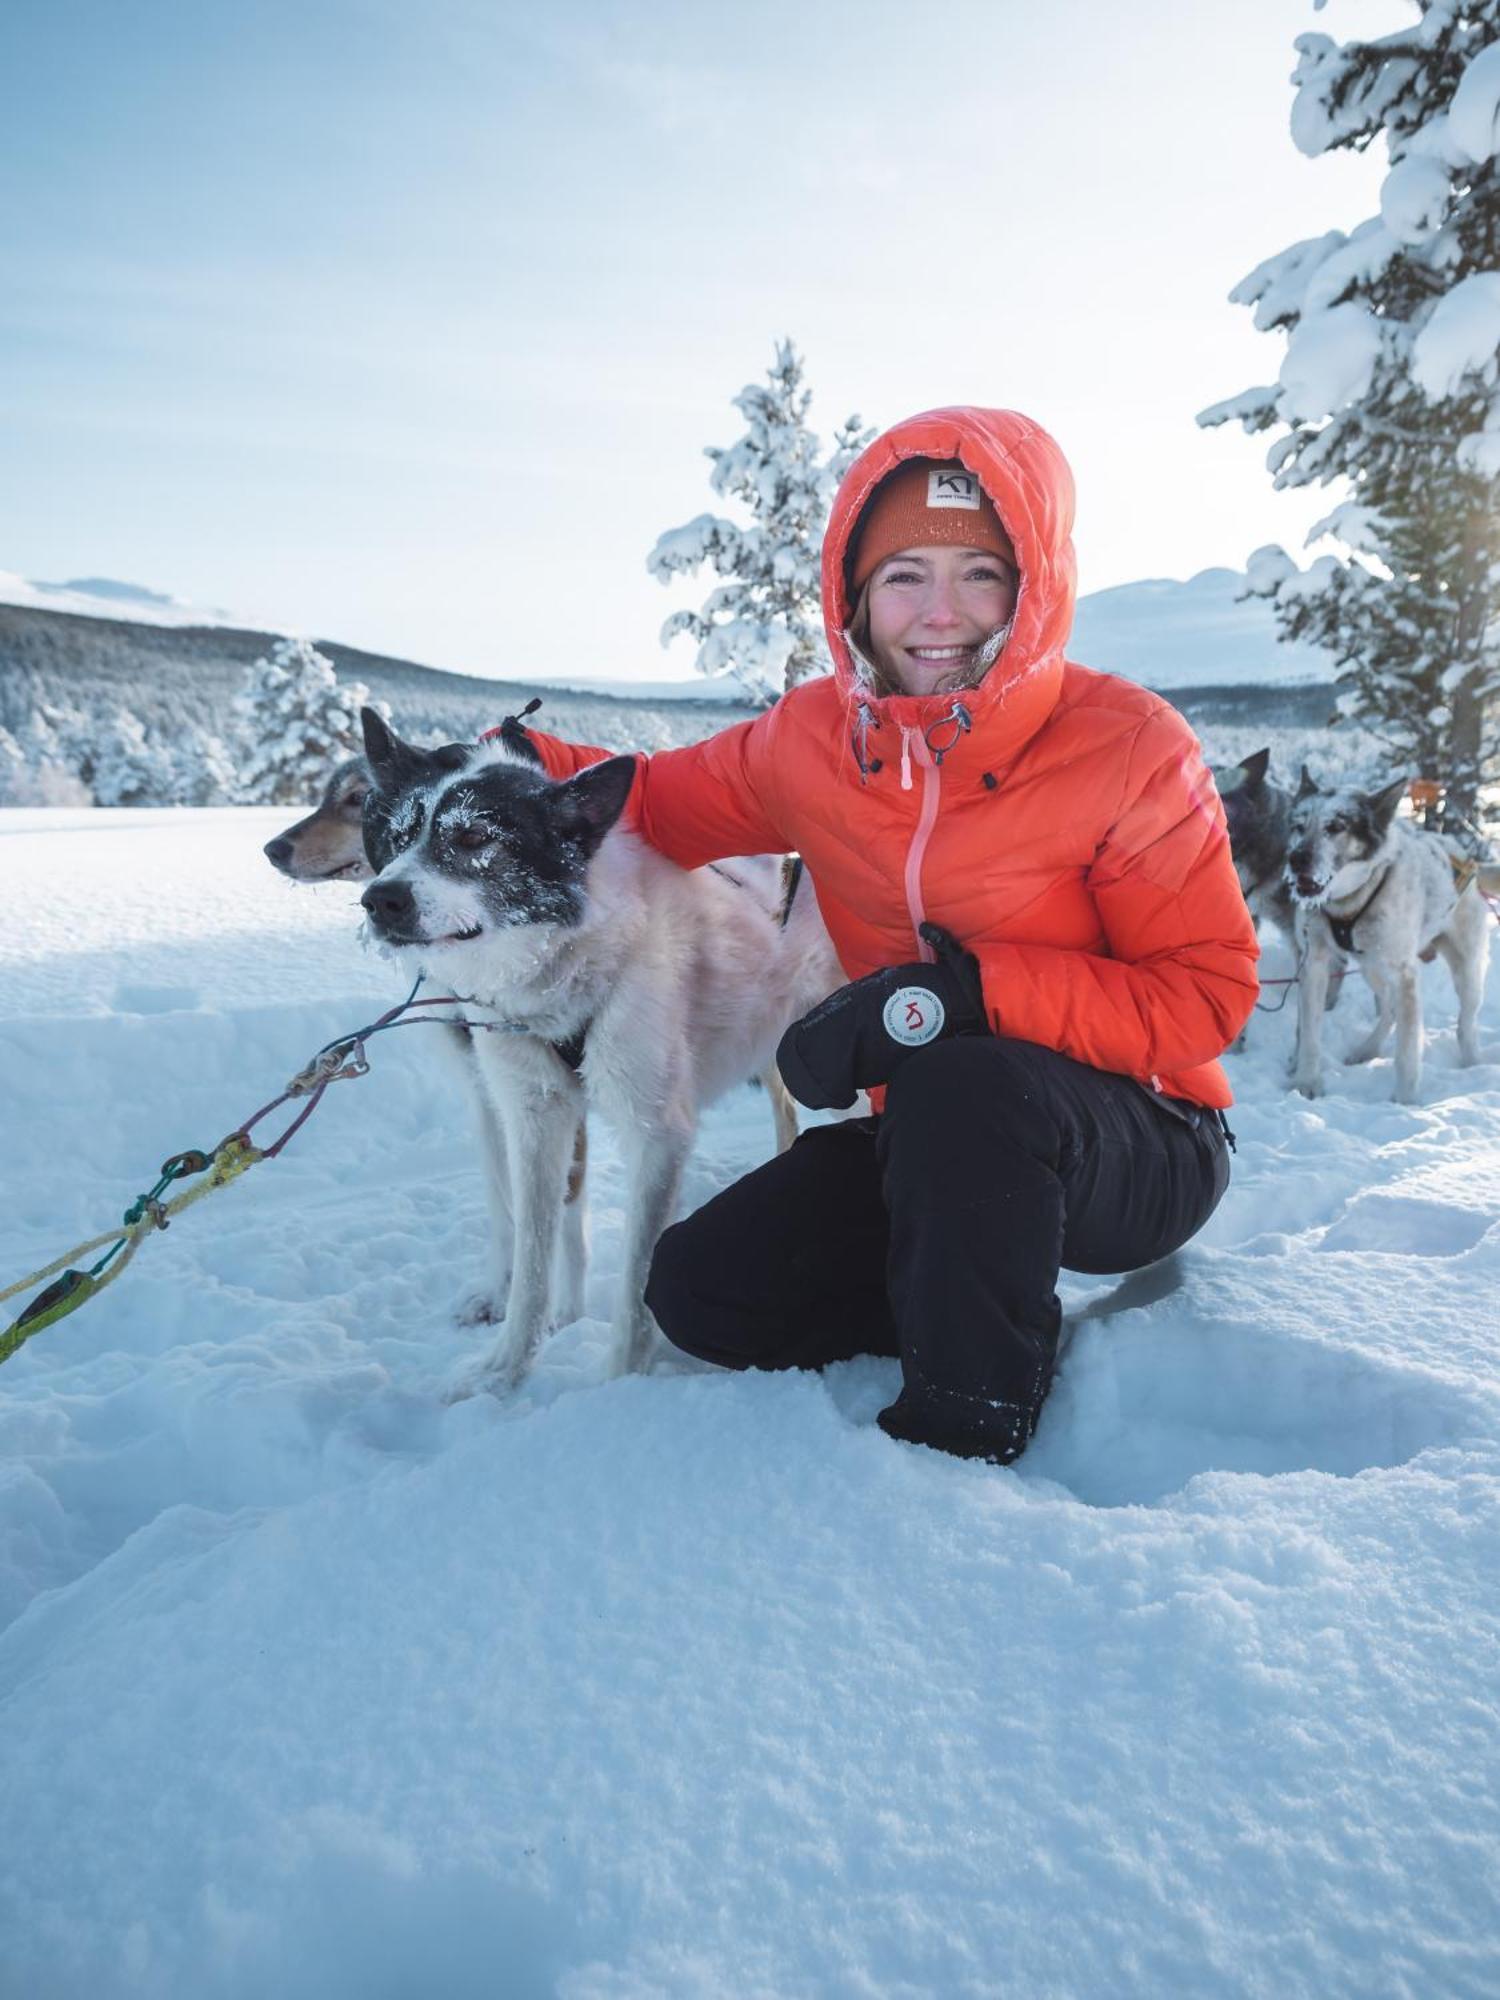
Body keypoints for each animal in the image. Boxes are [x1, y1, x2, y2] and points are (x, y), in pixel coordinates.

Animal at [358, 712, 840, 1400]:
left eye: (474, 836)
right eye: (398, 836)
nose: (381, 900)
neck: (565, 972)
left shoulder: (658, 1134)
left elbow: (637, 1288)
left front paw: (615, 1394)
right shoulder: (536, 1120)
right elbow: (533, 1261)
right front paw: (504, 1372)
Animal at [1288, 768, 1496, 1112]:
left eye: (1336, 826)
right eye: (1298, 826)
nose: (1296, 858)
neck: (1351, 900)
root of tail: (1460, 853)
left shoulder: (1404, 975)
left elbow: (1407, 1053)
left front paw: (1406, 1102)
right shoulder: (1315, 964)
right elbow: (1310, 1034)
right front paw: (1306, 1082)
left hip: (1466, 970)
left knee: (1465, 1022)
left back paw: (1472, 1062)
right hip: (1371, 967)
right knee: (1389, 1009)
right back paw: (1368, 1049)